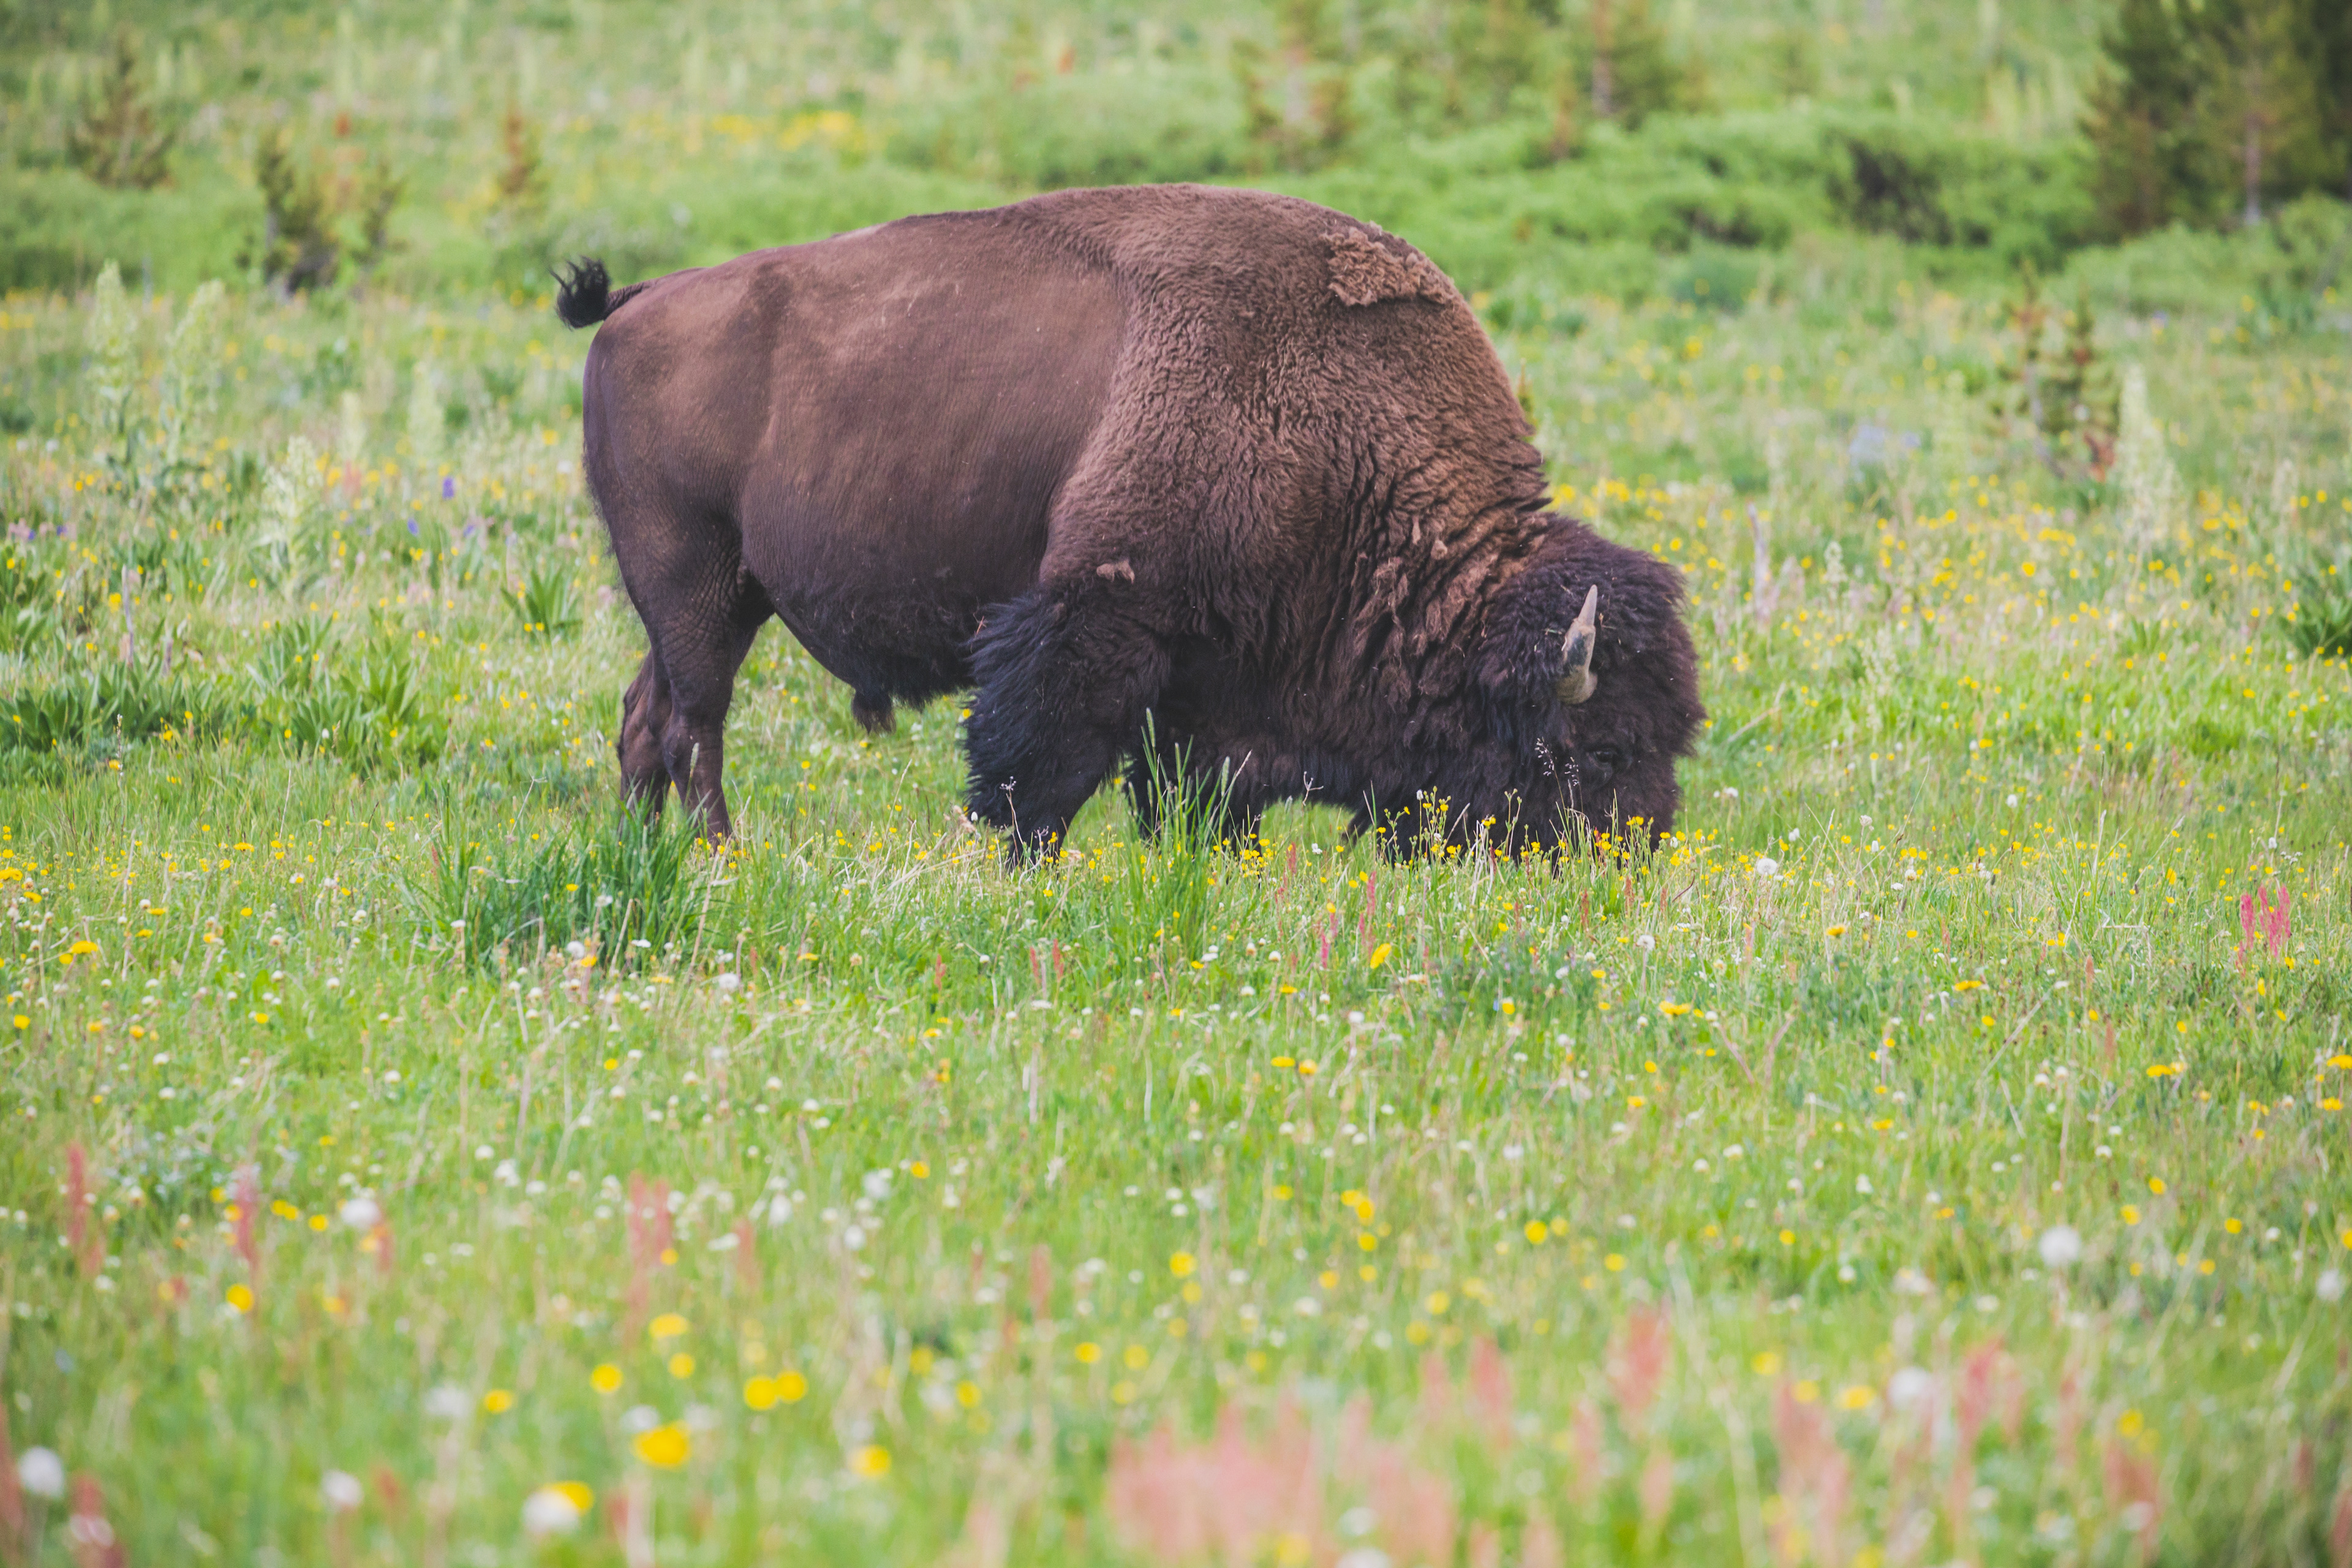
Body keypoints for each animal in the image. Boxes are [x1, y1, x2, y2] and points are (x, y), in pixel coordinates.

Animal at [558, 183, 1700, 858]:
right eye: (1594, 752)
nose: (1631, 862)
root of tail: (637, 303)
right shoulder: (1096, 623)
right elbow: (1039, 770)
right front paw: (1020, 864)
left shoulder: (1210, 690)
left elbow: (1188, 795)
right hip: (695, 581)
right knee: (695, 725)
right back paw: (719, 854)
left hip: (718, 600)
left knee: (648, 716)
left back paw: (648, 853)